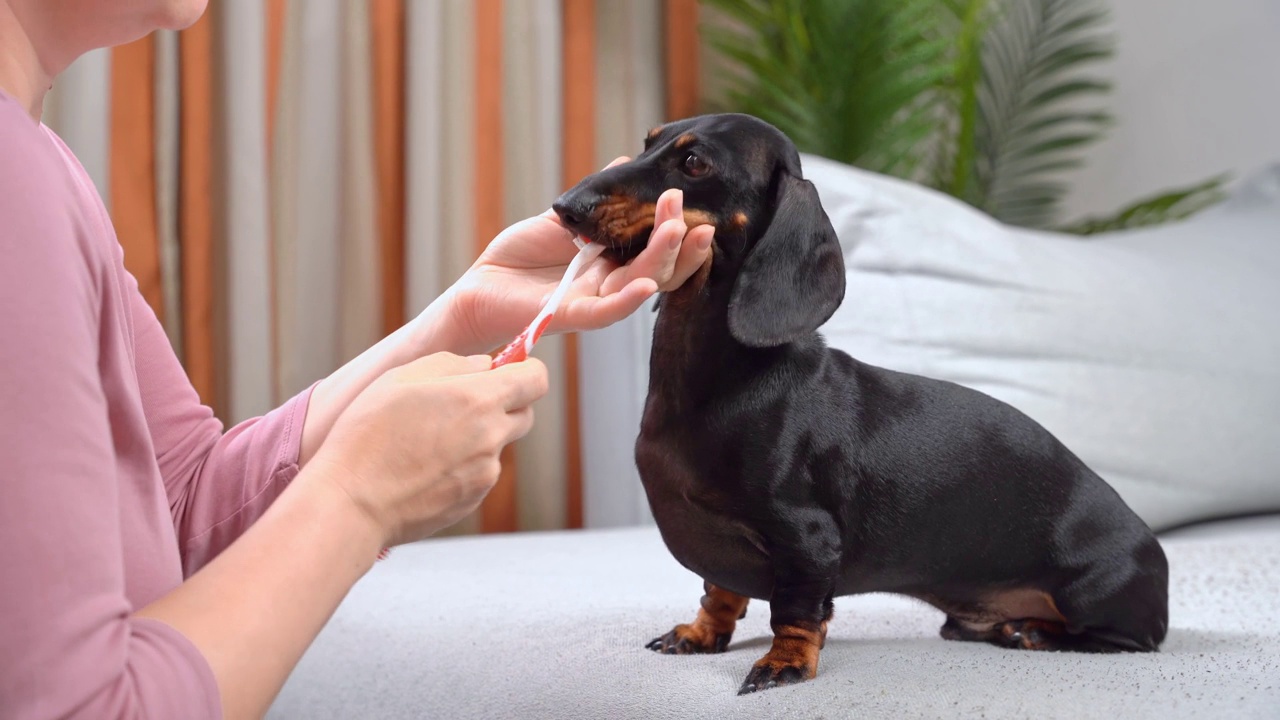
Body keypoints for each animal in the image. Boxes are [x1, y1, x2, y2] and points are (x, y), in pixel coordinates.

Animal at [550, 113, 1172, 696]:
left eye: (695, 163)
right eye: (648, 141)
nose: (564, 208)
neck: (717, 375)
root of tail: (1157, 560)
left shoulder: (807, 538)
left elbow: (795, 612)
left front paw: (784, 664)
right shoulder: (721, 549)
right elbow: (719, 591)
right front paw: (702, 634)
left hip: (1093, 589)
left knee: (1127, 639)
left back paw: (1036, 631)